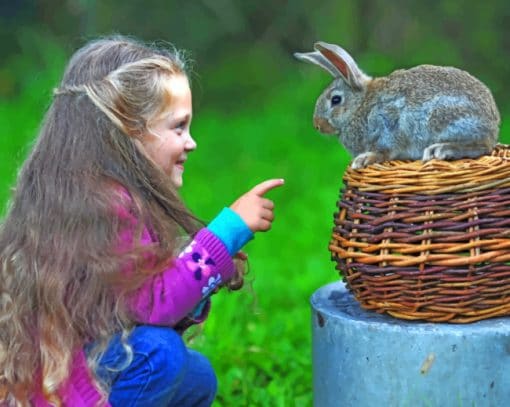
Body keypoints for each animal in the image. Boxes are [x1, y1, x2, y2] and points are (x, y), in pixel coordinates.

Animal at [292, 41, 500, 169]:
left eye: (335, 100)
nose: (317, 125)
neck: (361, 105)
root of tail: (493, 125)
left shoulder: (387, 124)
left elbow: (384, 150)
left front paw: (364, 159)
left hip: (443, 117)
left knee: (482, 147)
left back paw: (440, 150)